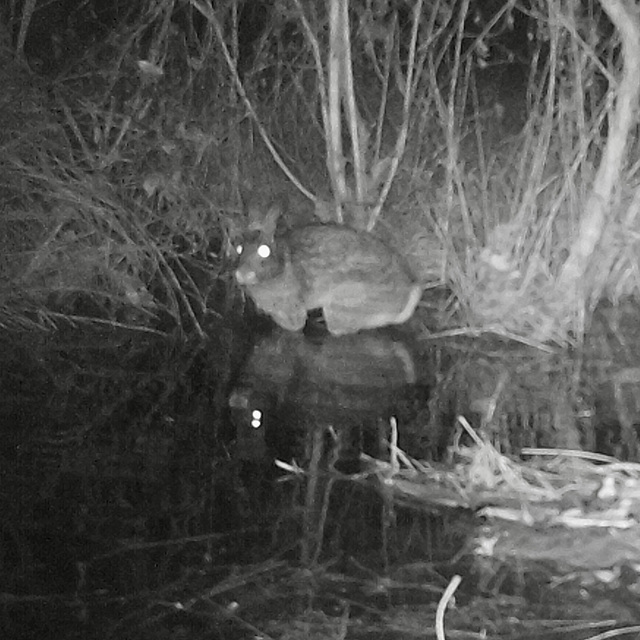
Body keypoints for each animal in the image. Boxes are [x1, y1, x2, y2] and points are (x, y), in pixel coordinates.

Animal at [235, 204, 424, 336]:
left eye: (264, 251)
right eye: (238, 248)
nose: (241, 274)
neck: (280, 266)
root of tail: (407, 295)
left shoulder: (292, 308)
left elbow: (294, 326)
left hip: (343, 300)